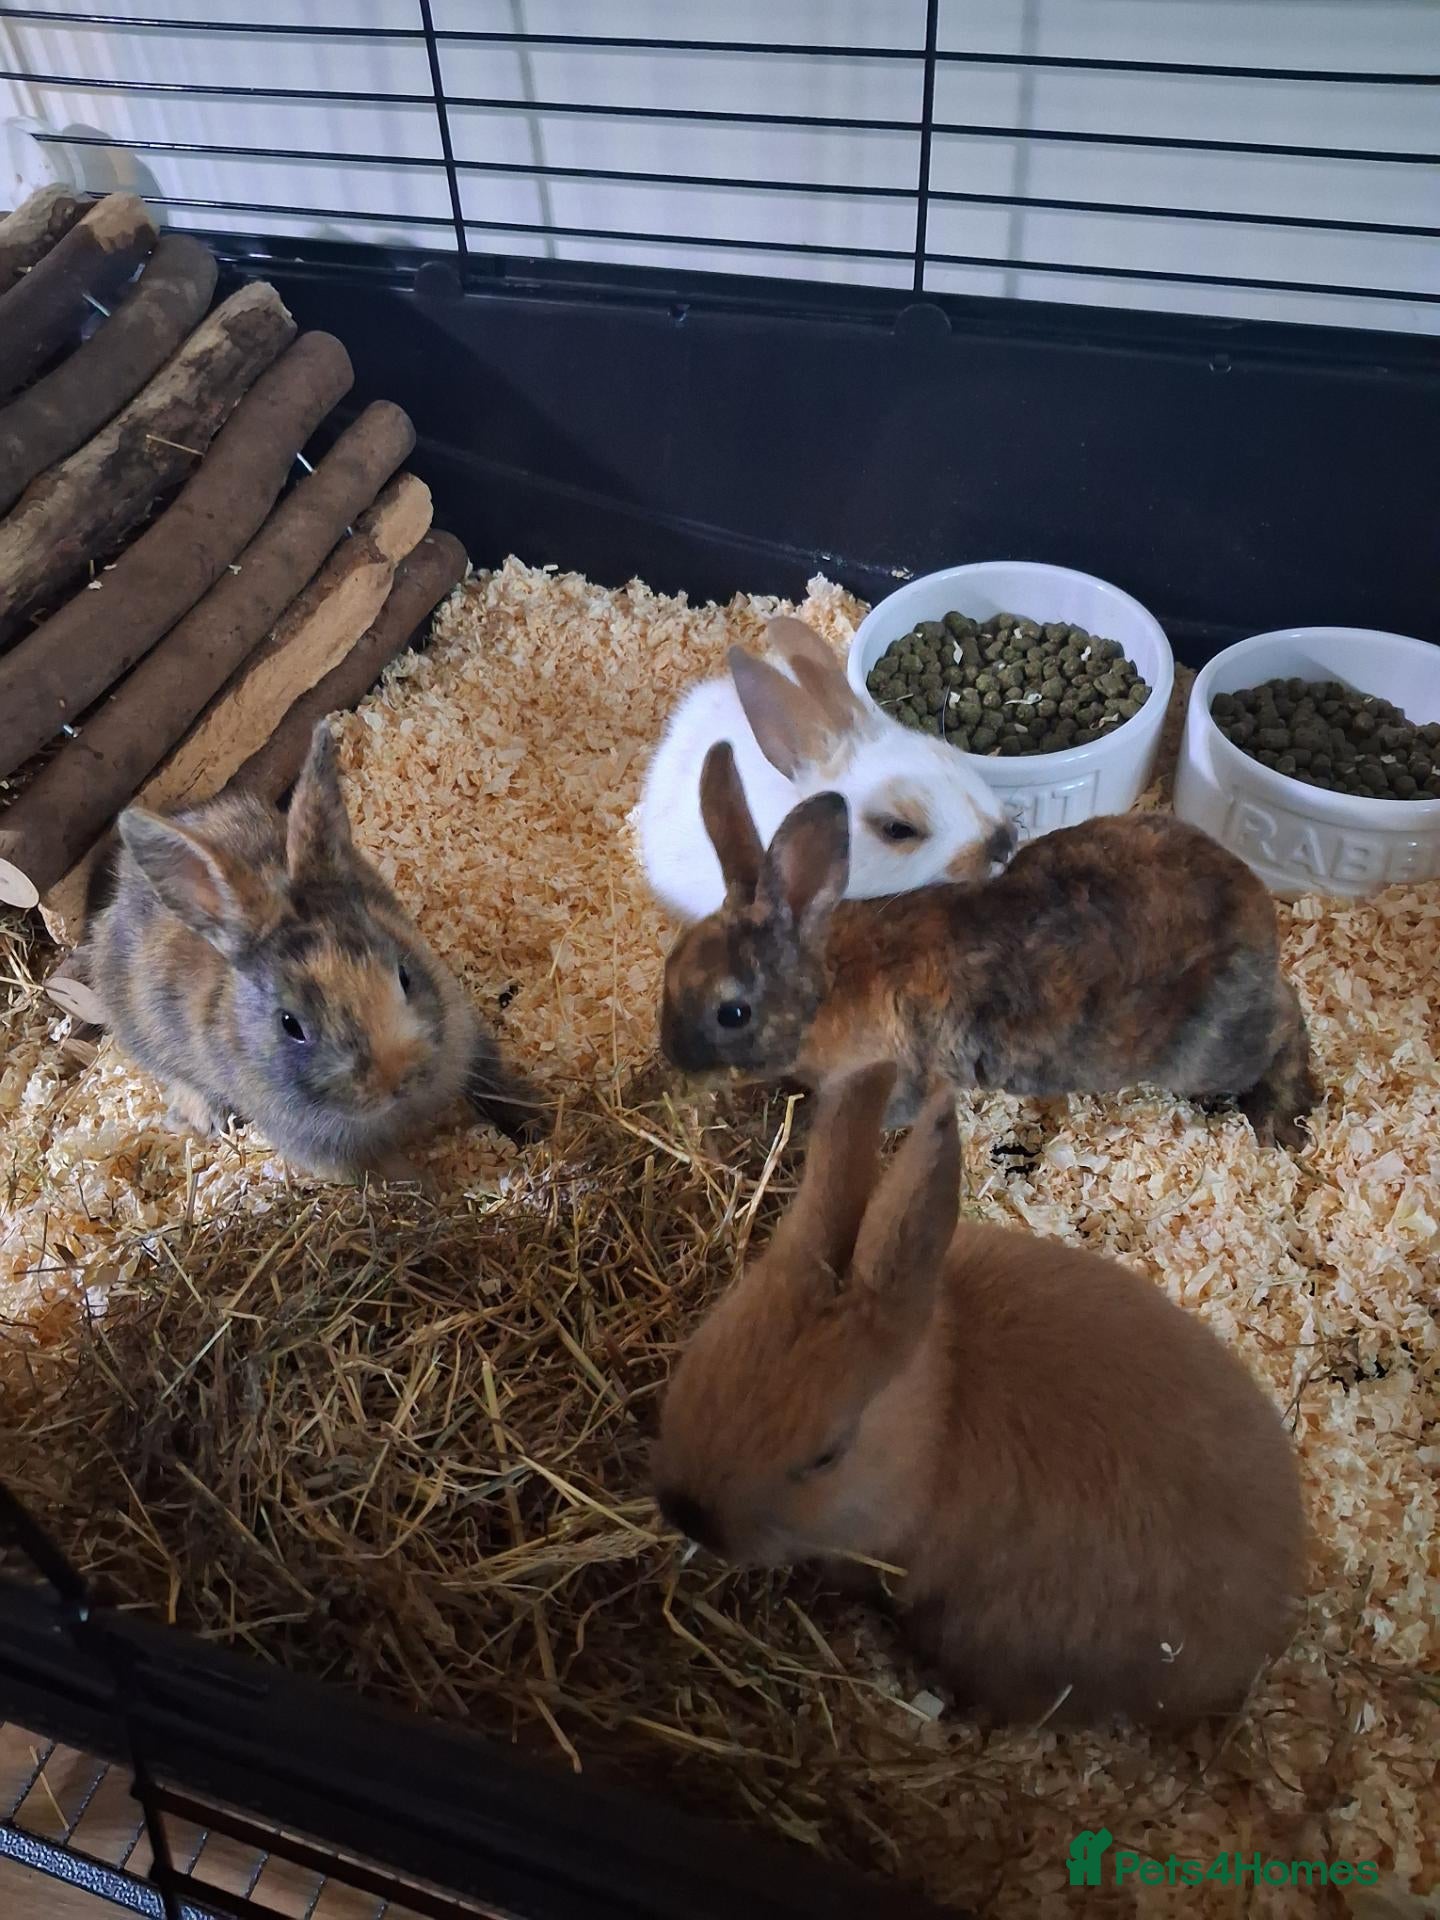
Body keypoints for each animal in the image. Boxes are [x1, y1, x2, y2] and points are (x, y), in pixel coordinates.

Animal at [83, 720, 547, 1182]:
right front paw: (437, 1191)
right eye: (291, 1025)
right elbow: (399, 1181)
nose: (395, 1079)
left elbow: (494, 1086)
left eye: (404, 975)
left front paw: (539, 1126)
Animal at [659, 742, 1316, 1147]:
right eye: (671, 965)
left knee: (1286, 1023)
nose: (672, 1058)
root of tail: (1261, 915)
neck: (824, 984)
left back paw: (1282, 1121)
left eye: (732, 1012)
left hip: (1204, 1054)